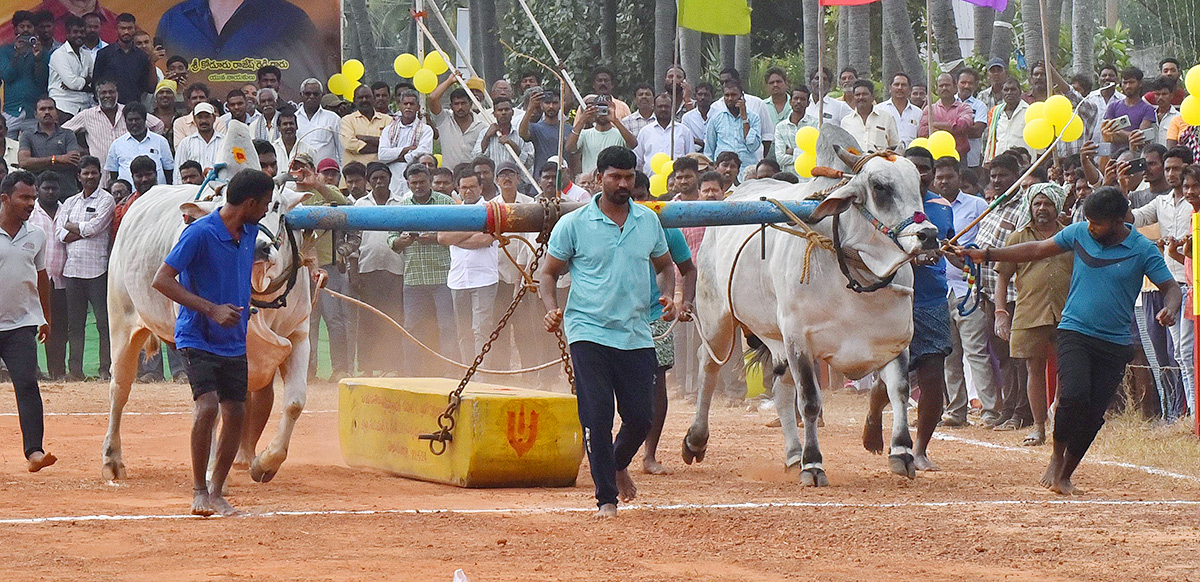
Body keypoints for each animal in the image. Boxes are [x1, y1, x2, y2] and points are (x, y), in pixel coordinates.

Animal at [686, 128, 936, 484]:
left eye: (918, 181)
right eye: (880, 187)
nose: (928, 234)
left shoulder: (895, 338)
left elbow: (898, 390)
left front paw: (901, 452)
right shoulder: (798, 338)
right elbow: (810, 402)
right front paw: (814, 463)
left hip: (774, 339)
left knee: (780, 390)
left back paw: (793, 454)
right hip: (716, 319)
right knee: (707, 365)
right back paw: (696, 439)